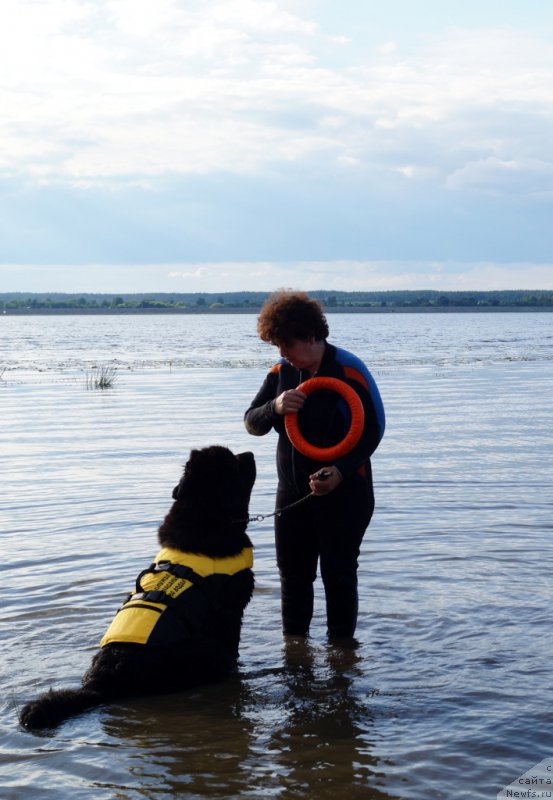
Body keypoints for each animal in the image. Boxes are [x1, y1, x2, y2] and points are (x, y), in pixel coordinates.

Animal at [20, 446, 256, 728]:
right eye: (232, 460)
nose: (251, 452)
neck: (206, 516)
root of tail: (101, 684)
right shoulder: (231, 612)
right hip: (209, 650)